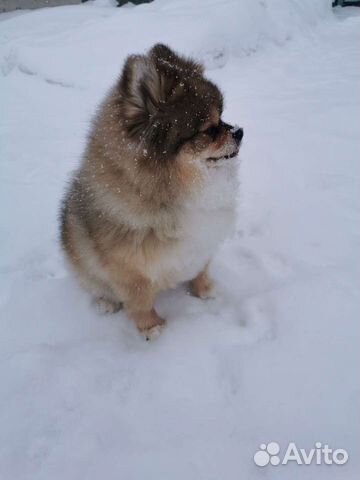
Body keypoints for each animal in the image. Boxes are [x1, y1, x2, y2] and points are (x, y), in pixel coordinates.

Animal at [60, 43, 243, 340]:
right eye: (209, 130)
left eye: (223, 115)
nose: (239, 131)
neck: (182, 189)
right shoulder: (129, 271)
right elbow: (140, 300)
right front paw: (152, 327)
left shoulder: (203, 243)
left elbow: (200, 271)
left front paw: (204, 291)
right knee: (93, 283)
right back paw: (105, 302)